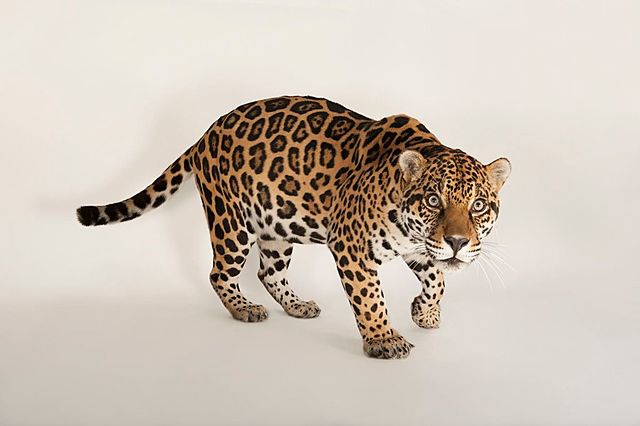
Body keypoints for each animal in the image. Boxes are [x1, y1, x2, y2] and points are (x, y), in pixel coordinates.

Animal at [77, 95, 511, 359]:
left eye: (478, 205)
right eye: (434, 201)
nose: (457, 241)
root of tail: (204, 134)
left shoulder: (417, 246)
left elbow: (438, 278)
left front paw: (424, 312)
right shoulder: (350, 244)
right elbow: (370, 298)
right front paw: (383, 339)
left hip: (275, 226)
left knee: (267, 272)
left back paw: (296, 305)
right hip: (231, 221)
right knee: (220, 273)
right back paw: (244, 309)